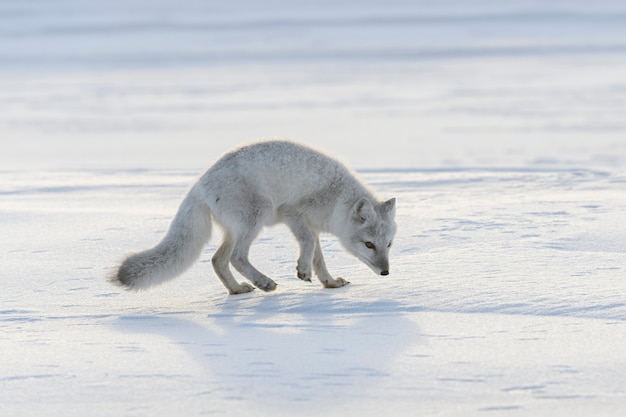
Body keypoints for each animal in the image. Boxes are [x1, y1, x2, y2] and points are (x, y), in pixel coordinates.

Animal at [111, 141, 394, 294]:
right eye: (369, 244)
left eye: (388, 244)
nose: (386, 272)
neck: (338, 198)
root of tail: (199, 184)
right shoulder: (293, 213)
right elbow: (309, 246)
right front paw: (303, 270)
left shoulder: (310, 225)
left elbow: (318, 256)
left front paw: (330, 282)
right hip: (257, 216)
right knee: (237, 257)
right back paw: (264, 283)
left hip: (234, 230)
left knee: (217, 260)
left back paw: (236, 290)